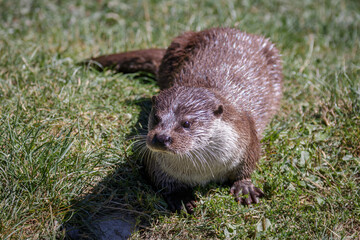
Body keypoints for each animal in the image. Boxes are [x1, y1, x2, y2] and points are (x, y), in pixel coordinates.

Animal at [86, 28, 282, 214]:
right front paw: (181, 197)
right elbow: (161, 180)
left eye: (186, 123)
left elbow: (248, 164)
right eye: (156, 118)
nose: (161, 138)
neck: (203, 172)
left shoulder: (247, 137)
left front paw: (244, 186)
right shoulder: (155, 162)